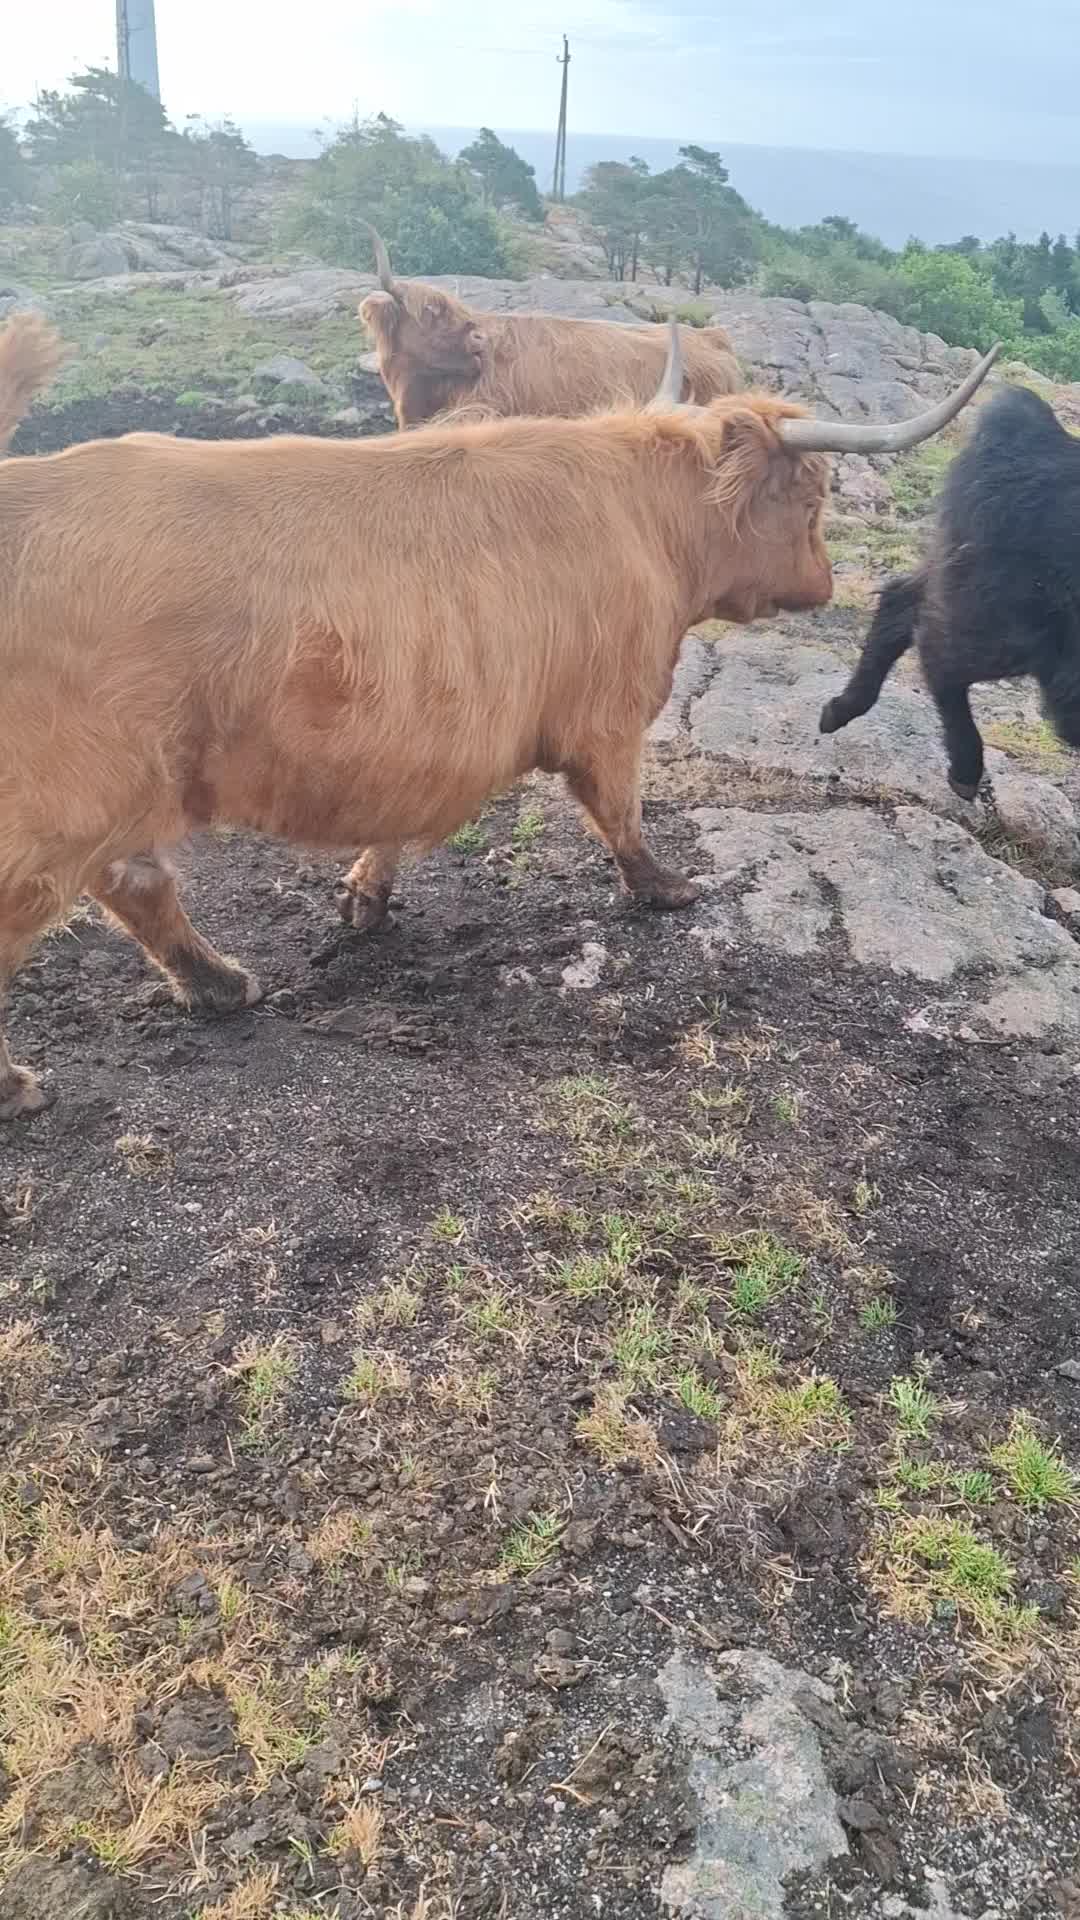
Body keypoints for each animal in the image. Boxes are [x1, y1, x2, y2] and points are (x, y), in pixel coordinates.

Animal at [0, 310, 997, 1118]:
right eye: (814, 495)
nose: (827, 584)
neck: (650, 523)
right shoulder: (607, 711)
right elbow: (621, 812)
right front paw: (667, 889)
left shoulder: (430, 739)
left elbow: (396, 824)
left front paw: (364, 897)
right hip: (61, 802)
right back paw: (23, 1086)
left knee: (137, 884)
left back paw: (221, 985)